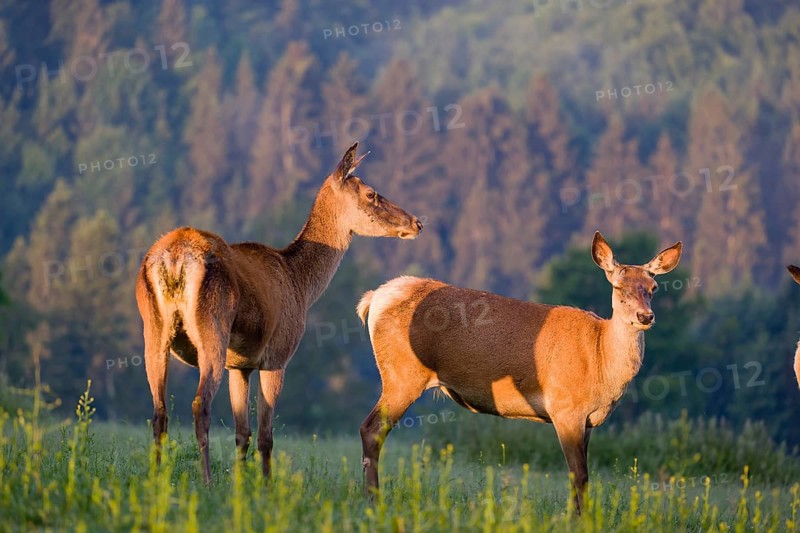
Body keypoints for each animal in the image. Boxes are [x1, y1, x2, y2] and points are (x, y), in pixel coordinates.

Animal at [135, 142, 423, 484]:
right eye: (370, 193)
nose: (417, 223)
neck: (301, 283)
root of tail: (173, 257)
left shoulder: (240, 365)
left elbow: (242, 433)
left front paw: (240, 484)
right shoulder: (277, 356)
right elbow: (265, 435)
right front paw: (266, 485)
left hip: (153, 328)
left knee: (159, 411)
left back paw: (155, 477)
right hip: (211, 328)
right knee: (199, 404)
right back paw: (206, 481)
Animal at [356, 231, 682, 514]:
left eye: (653, 288)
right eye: (617, 286)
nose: (645, 316)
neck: (600, 361)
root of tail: (373, 299)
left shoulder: (587, 420)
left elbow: (582, 476)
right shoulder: (565, 408)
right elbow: (579, 474)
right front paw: (578, 519)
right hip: (402, 374)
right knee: (371, 429)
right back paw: (373, 502)